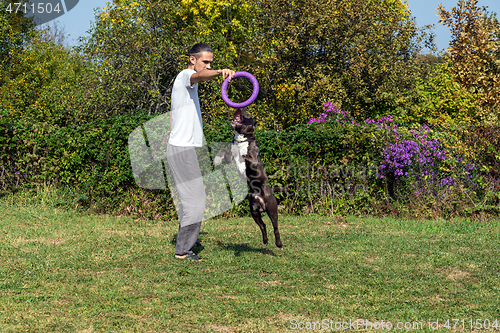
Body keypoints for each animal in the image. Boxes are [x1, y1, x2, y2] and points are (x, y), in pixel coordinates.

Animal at [213, 107, 284, 248]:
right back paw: (265, 241)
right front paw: (217, 160)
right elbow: (224, 152)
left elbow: (243, 157)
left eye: (248, 115)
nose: (240, 107)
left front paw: (241, 163)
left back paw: (279, 244)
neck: (241, 140)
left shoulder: (253, 161)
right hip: (254, 212)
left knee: (275, 227)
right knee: (263, 225)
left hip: (272, 209)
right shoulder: (230, 157)